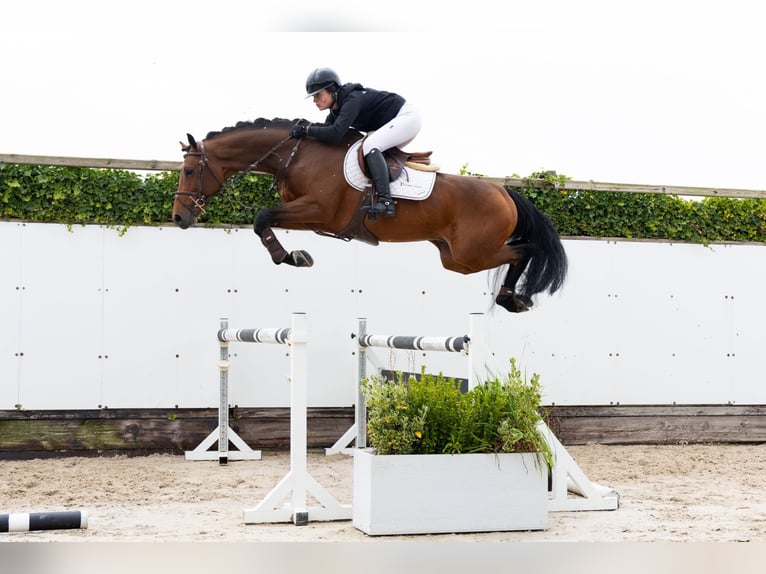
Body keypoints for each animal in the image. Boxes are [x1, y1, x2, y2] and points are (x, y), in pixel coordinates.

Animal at [172, 118, 567, 313]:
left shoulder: (319, 210)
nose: (178, 218)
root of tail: (504, 191)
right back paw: (513, 298)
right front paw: (295, 255)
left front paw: (292, 257)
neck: (297, 155)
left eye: (189, 171)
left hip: (473, 253)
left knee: (524, 250)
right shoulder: (311, 217)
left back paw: (512, 298)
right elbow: (265, 220)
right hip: (454, 258)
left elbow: (261, 217)